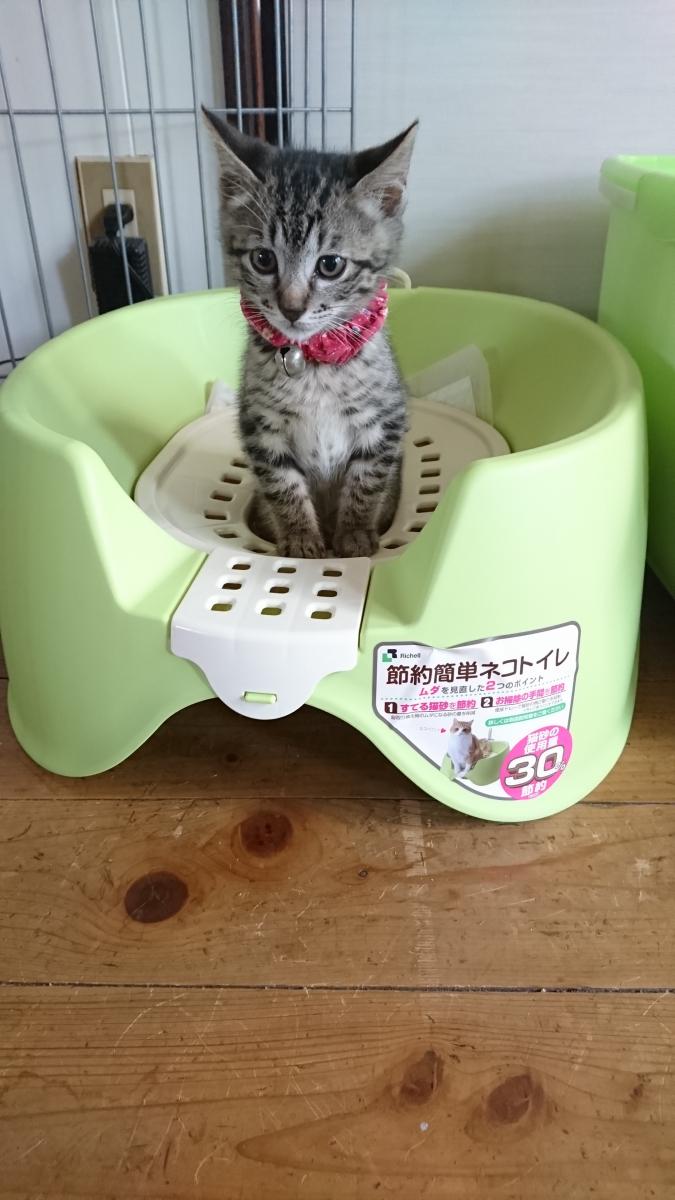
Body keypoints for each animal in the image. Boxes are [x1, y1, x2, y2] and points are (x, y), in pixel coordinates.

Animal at [203, 108, 417, 558]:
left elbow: (366, 481)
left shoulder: (384, 421)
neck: (315, 362)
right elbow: (281, 483)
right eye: (263, 259)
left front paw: (354, 537)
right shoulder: (260, 426)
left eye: (330, 265)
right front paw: (301, 540)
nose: (291, 307)